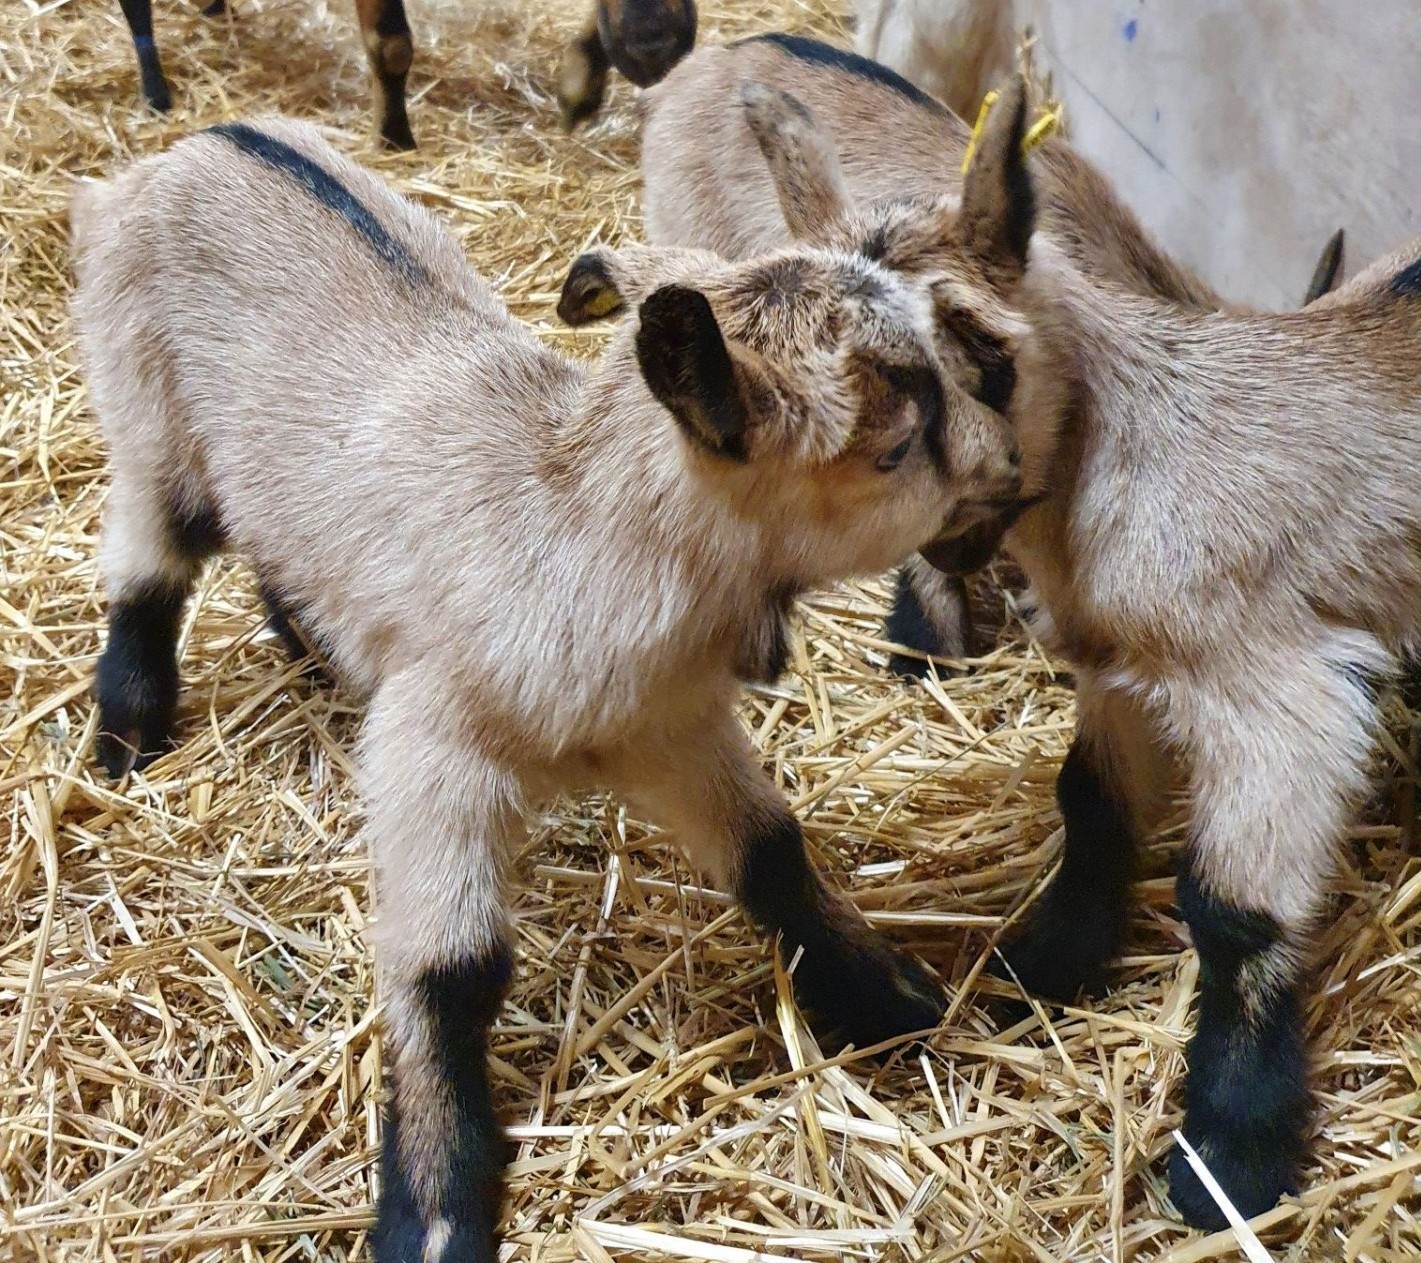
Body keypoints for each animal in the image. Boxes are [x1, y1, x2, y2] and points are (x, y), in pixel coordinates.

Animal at [72, 113, 1028, 1255]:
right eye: (894, 446)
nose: (1013, 483)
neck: (568, 532)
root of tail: (202, 142)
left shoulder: (673, 725)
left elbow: (771, 853)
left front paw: (887, 991)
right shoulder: (432, 745)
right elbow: (449, 973)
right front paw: (435, 1199)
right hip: (148, 412)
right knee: (147, 559)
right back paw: (126, 735)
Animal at [716, 73, 1421, 1227]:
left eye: (977, 347)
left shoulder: (1279, 691)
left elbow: (1234, 913)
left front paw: (1231, 1153)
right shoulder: (1121, 665)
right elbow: (1087, 802)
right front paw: (1044, 960)